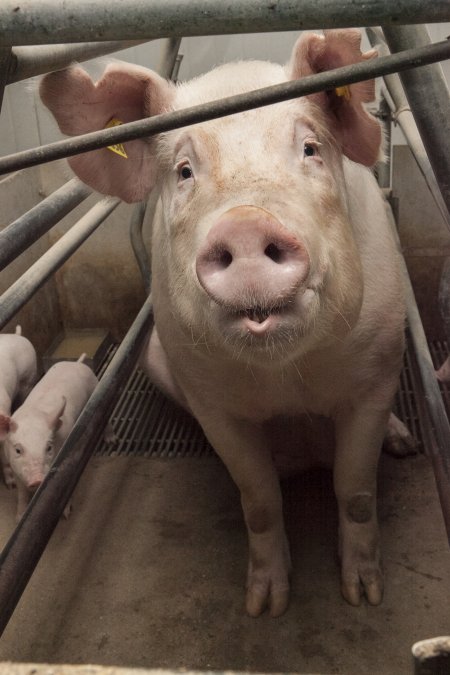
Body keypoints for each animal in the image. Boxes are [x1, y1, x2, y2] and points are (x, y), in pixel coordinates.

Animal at [0, 356, 98, 520]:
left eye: (49, 447)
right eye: (18, 450)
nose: (37, 479)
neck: (34, 415)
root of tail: (76, 362)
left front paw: (66, 514)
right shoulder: (15, 468)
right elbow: (21, 492)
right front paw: (19, 517)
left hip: (95, 385)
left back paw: (111, 440)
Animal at [40, 29, 408, 616]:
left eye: (310, 149)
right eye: (184, 171)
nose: (245, 223)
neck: (287, 380)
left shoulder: (376, 372)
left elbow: (355, 491)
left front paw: (364, 596)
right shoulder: (213, 403)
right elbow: (258, 500)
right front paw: (265, 606)